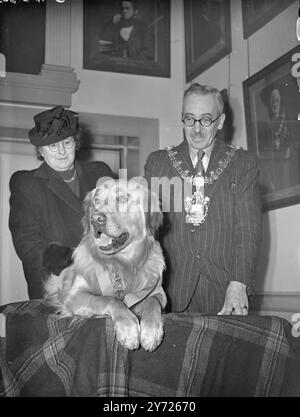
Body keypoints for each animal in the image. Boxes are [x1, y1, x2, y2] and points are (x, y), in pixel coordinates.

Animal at [44, 177, 166, 350]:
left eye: (123, 198)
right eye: (96, 201)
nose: (95, 219)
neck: (119, 264)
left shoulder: (159, 293)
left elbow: (152, 301)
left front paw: (151, 331)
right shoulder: (75, 295)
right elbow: (109, 299)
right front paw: (128, 329)